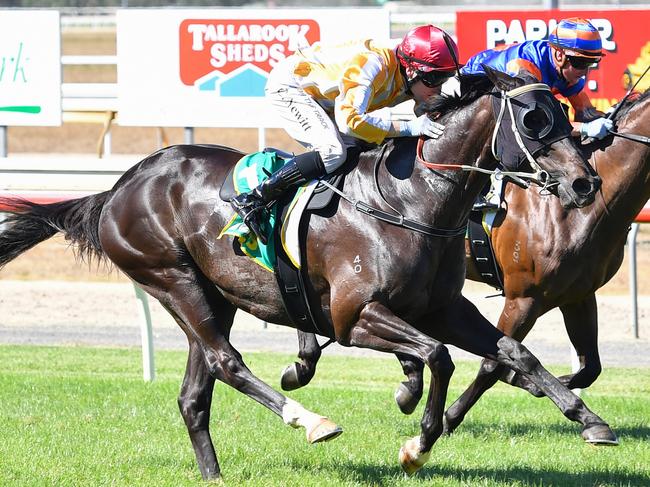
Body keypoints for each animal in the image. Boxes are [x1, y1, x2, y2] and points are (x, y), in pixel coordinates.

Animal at [0, 67, 608, 480]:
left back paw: (216, 474)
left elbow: (513, 354)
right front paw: (417, 440)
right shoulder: (352, 316)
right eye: (534, 121)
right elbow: (436, 356)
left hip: (212, 294)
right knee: (226, 362)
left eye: (567, 117)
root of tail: (119, 187)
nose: (586, 184)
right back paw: (310, 419)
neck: (411, 201)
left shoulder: (442, 308)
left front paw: (589, 420)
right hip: (170, 278)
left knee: (196, 393)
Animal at [284, 89, 648, 440]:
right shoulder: (524, 297)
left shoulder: (577, 295)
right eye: (533, 121)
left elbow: (588, 367)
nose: (585, 184)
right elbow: (493, 365)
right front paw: (450, 416)